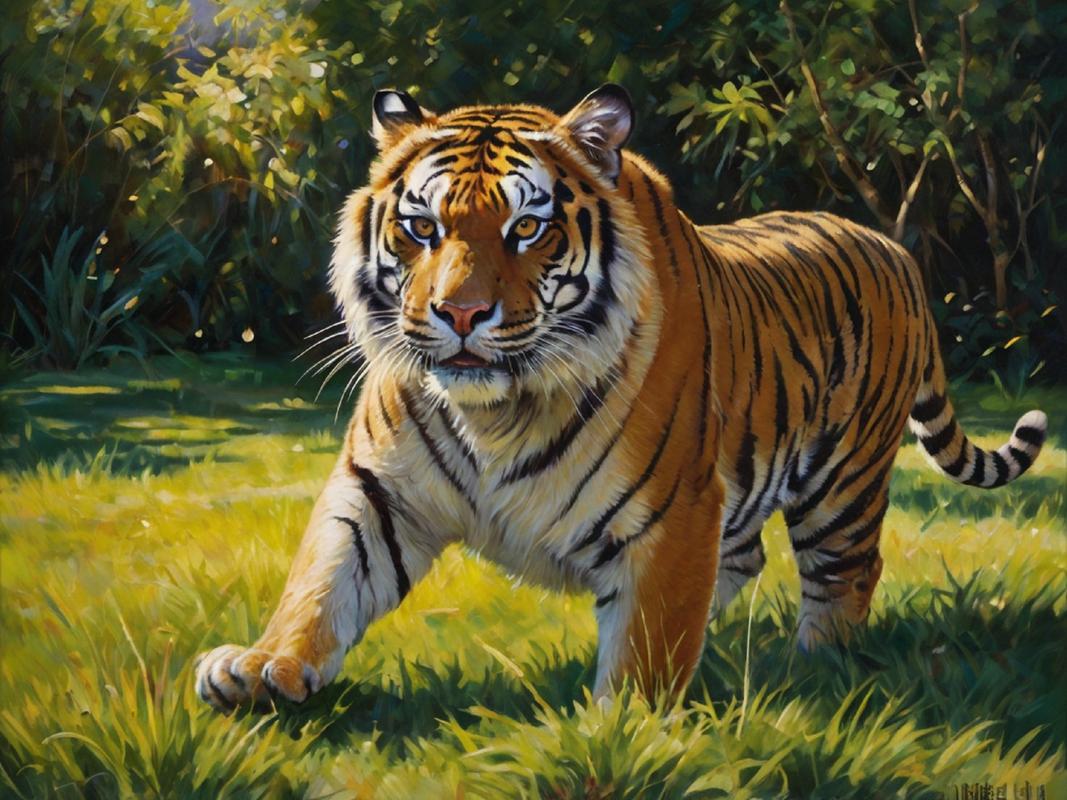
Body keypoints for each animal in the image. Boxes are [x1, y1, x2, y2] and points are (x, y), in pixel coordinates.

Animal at [195, 84, 1048, 711]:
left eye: (526, 228)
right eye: (423, 228)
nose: (460, 314)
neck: (495, 412)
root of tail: (892, 248)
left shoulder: (672, 510)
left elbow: (647, 638)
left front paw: (619, 727)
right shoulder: (376, 487)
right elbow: (321, 578)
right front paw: (265, 666)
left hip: (842, 483)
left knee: (846, 572)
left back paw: (813, 667)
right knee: (745, 556)